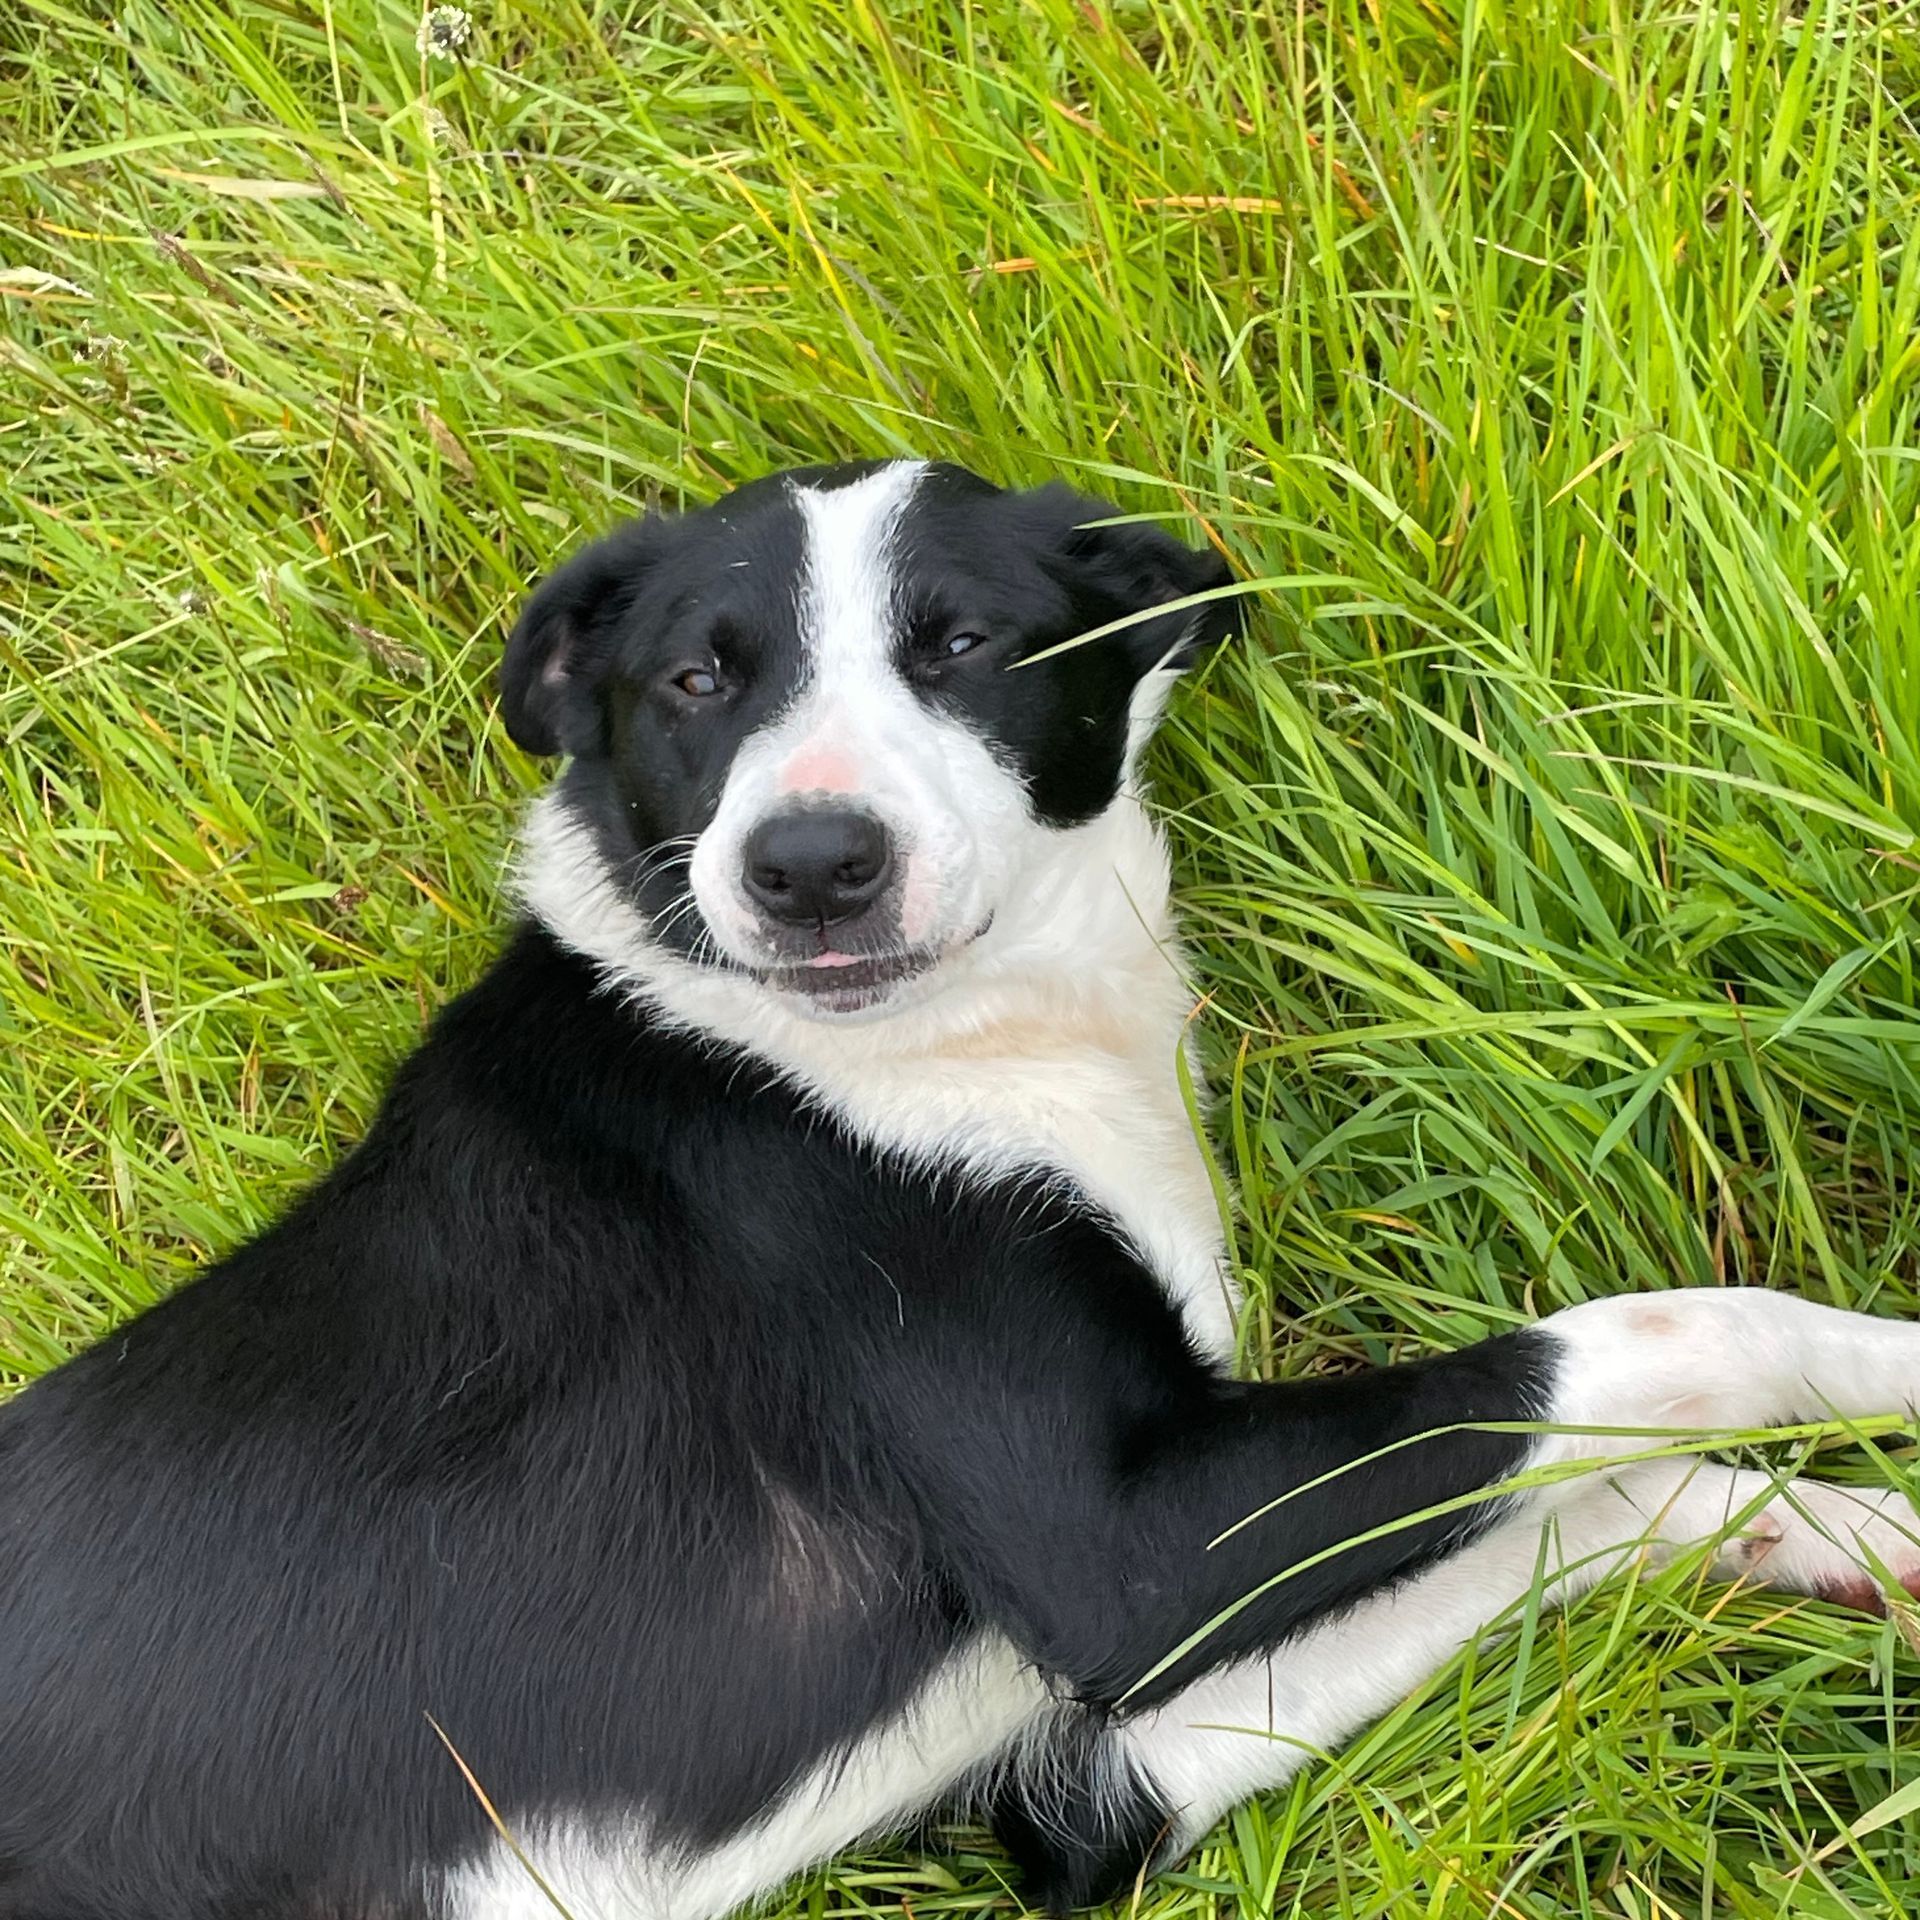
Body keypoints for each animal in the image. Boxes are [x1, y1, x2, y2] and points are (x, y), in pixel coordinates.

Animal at [3, 460, 1920, 1920]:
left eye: (966, 644)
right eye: (696, 681)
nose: (809, 868)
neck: (930, 1055)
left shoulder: (1084, 1770)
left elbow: (1602, 1495)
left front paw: (1837, 1535)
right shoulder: (1133, 1550)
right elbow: (1662, 1333)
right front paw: (1884, 1389)